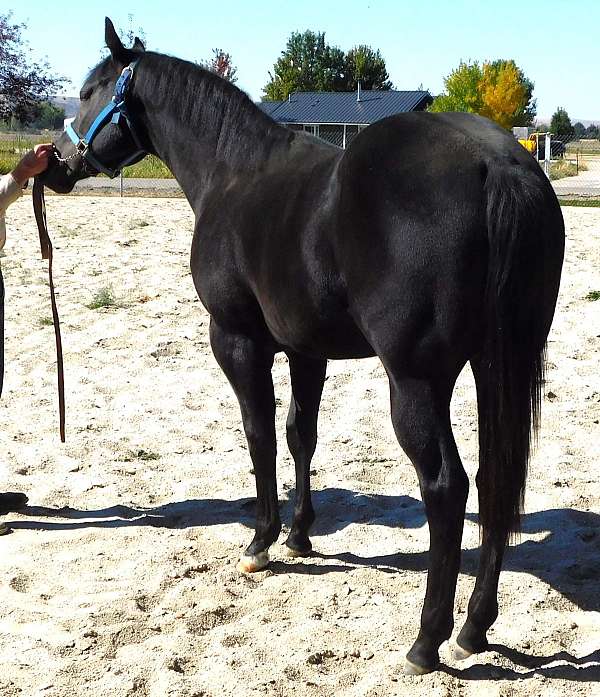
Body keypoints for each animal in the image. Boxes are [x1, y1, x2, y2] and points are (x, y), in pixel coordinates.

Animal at [41, 19, 564, 676]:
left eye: (90, 92)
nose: (55, 163)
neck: (234, 172)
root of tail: (496, 165)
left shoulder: (237, 341)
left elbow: (259, 435)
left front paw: (261, 541)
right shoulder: (306, 350)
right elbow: (300, 435)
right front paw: (299, 534)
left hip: (417, 382)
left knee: (446, 487)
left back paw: (427, 639)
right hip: (501, 364)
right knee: (498, 478)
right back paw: (474, 627)